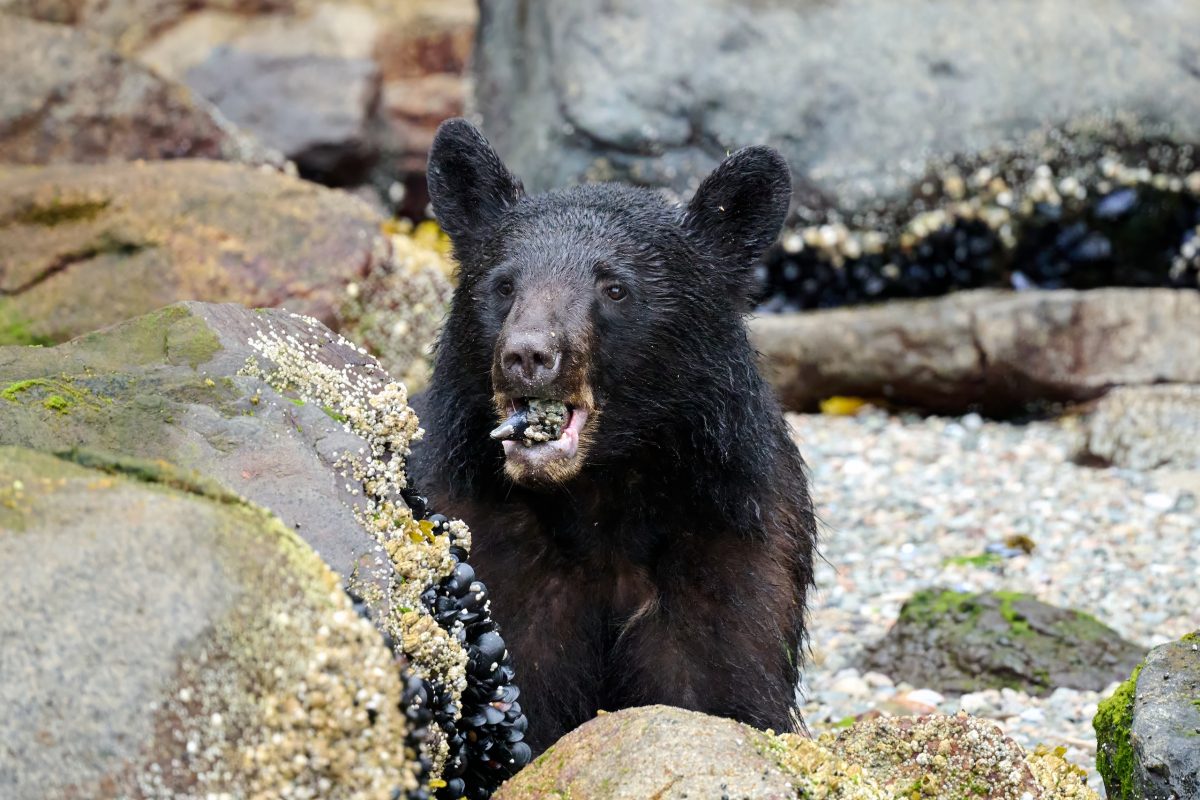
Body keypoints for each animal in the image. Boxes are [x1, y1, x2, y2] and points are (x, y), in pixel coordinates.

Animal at [410, 118, 818, 756]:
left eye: (615, 288)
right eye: (503, 285)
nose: (528, 355)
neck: (601, 496)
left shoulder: (729, 544)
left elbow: (718, 684)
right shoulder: (492, 551)